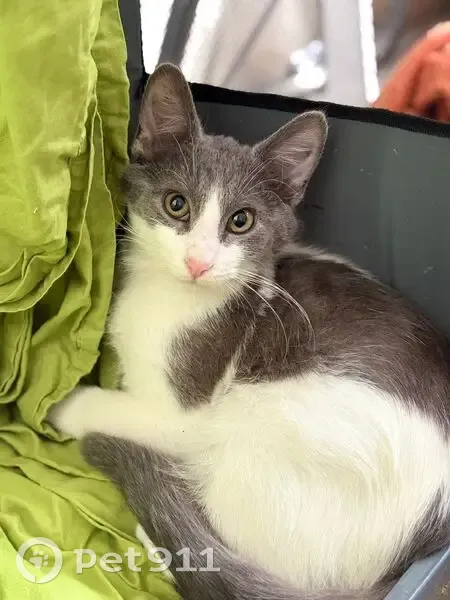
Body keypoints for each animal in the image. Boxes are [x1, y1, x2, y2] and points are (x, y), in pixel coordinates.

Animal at [48, 63, 450, 600]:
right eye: (176, 204)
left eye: (241, 221)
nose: (199, 262)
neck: (171, 295)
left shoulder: (183, 411)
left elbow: (117, 409)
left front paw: (65, 406)